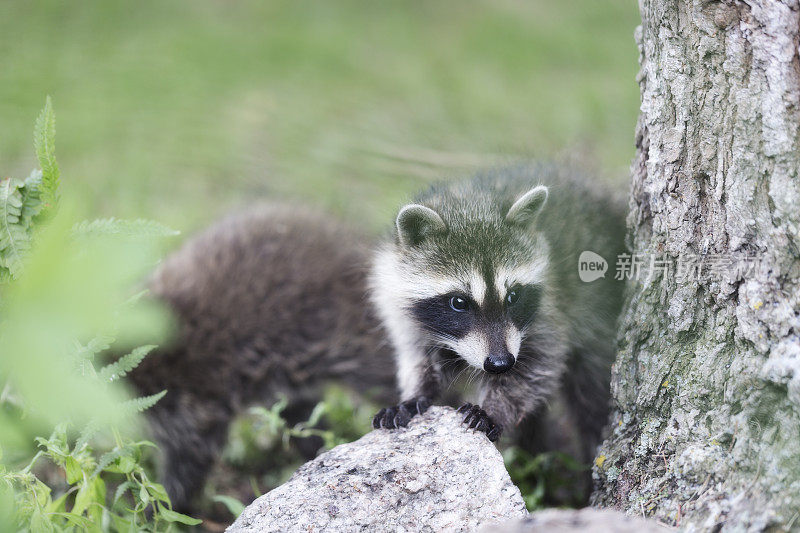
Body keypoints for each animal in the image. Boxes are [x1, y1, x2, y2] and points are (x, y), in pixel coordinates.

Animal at [372, 165, 628, 462]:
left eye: (513, 296)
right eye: (458, 302)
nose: (500, 363)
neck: (470, 201)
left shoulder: (548, 311)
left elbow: (534, 369)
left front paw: (494, 409)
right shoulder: (401, 310)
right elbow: (418, 357)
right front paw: (414, 395)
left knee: (591, 391)